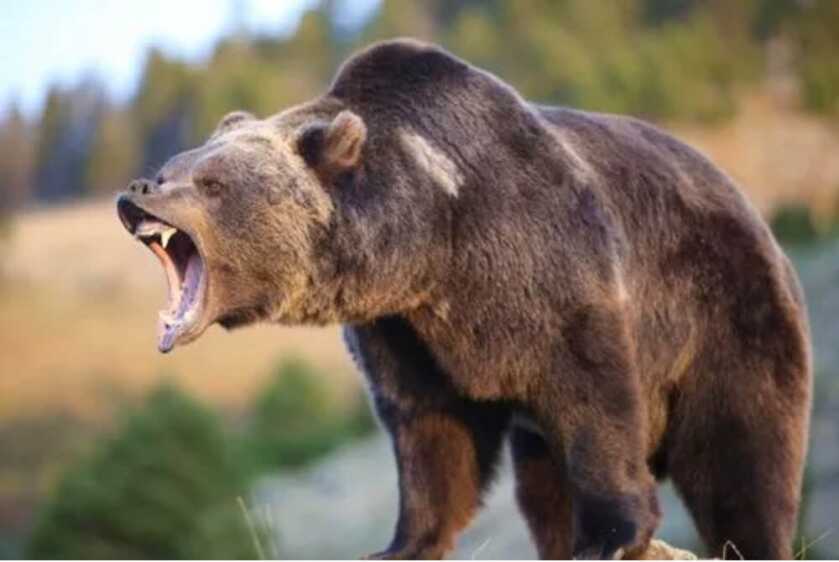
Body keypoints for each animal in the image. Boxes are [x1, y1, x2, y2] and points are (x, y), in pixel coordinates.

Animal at [117, 39, 812, 560]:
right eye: (173, 165)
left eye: (211, 183)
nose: (138, 189)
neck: (433, 243)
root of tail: (751, 209)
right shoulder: (404, 330)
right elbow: (428, 429)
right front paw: (399, 544)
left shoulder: (550, 268)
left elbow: (595, 398)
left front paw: (613, 536)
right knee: (543, 485)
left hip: (728, 314)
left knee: (742, 454)